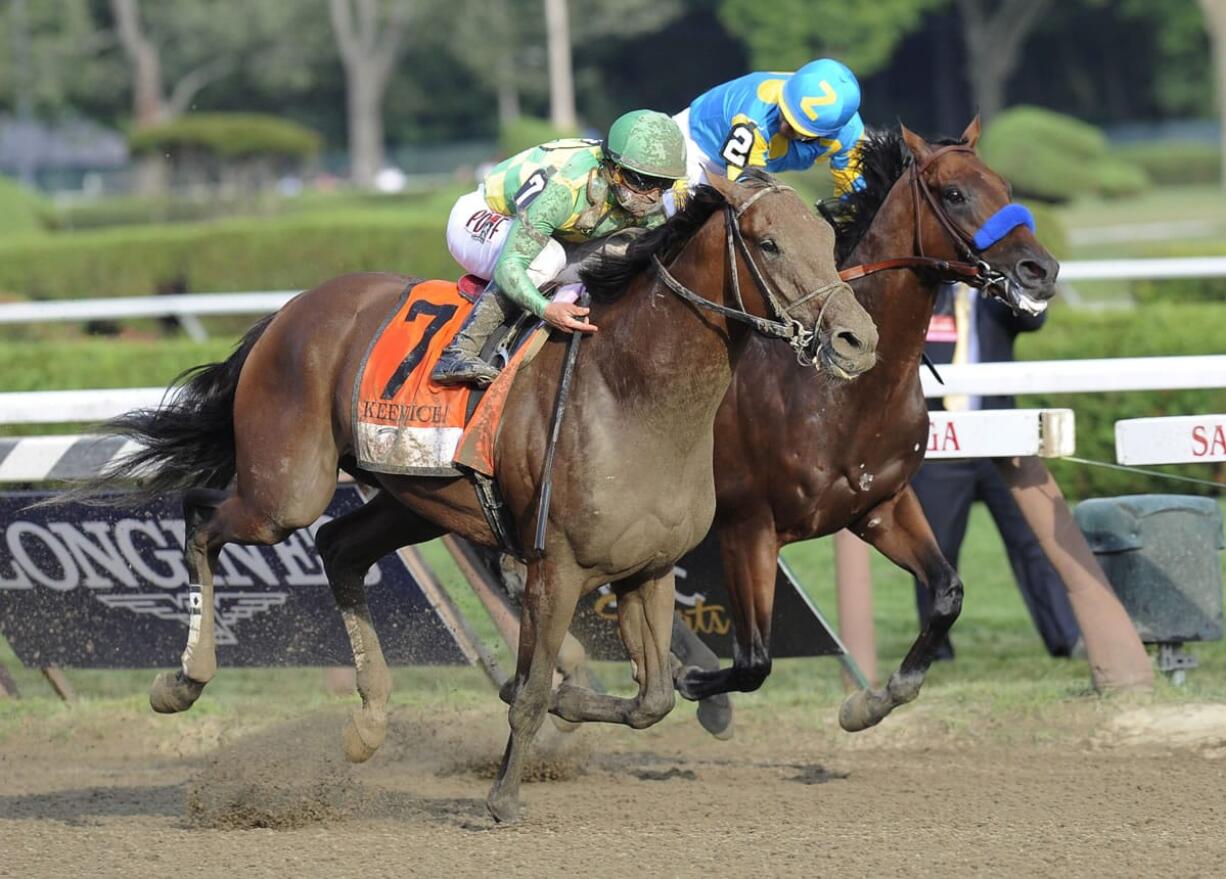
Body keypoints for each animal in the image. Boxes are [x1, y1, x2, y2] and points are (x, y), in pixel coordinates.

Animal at [93, 172, 882, 823]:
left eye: (829, 240)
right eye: (769, 243)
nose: (857, 338)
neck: (633, 394)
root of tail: (288, 312)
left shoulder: (647, 569)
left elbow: (651, 698)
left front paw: (567, 702)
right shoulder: (556, 567)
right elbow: (531, 691)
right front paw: (501, 798)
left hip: (411, 499)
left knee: (337, 547)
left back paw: (369, 723)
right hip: (284, 488)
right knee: (202, 518)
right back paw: (183, 680)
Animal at [676, 120, 1059, 730]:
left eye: (1004, 185)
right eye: (954, 194)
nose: (1040, 270)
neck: (840, 392)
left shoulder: (880, 506)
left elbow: (947, 592)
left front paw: (877, 698)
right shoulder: (746, 525)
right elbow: (754, 660)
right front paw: (694, 682)